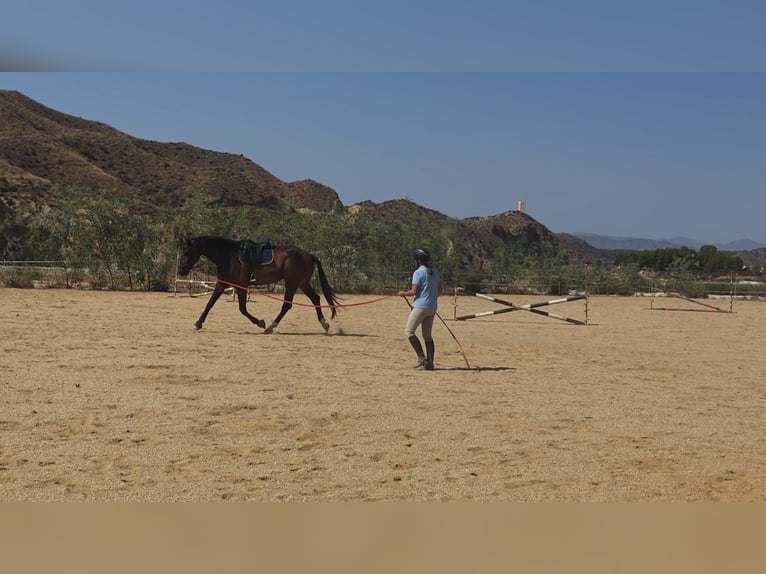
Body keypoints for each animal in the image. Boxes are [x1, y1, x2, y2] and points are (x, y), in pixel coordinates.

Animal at [177, 236, 340, 334]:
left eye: (187, 252)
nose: (181, 270)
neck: (229, 256)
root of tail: (308, 255)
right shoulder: (222, 284)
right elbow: (210, 303)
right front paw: (198, 323)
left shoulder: (240, 286)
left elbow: (242, 309)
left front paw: (260, 322)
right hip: (302, 283)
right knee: (315, 299)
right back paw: (324, 324)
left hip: (292, 283)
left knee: (287, 305)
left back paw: (270, 327)